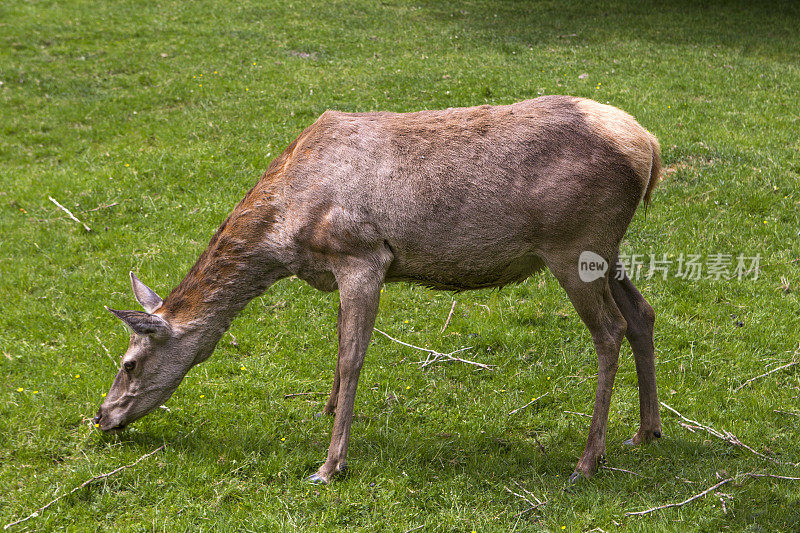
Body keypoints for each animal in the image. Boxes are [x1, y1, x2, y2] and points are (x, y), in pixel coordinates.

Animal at [95, 94, 664, 482]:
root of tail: (650, 149)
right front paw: (326, 410)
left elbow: (352, 357)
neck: (286, 233)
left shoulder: (363, 256)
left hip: (573, 244)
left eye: (129, 363)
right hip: (605, 249)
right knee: (642, 312)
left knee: (609, 329)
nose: (101, 416)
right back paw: (646, 431)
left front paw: (330, 464)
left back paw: (588, 459)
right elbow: (338, 346)